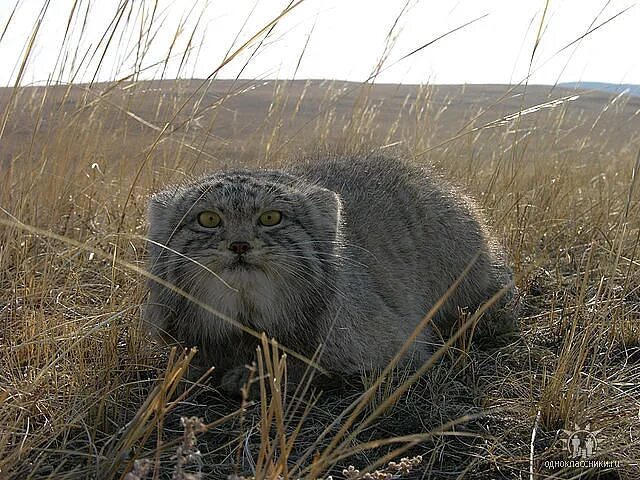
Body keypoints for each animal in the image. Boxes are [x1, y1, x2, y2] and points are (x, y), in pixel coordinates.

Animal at [142, 154, 516, 394]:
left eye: (271, 218)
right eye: (208, 219)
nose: (239, 245)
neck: (248, 320)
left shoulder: (395, 349)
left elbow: (314, 366)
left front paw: (255, 376)